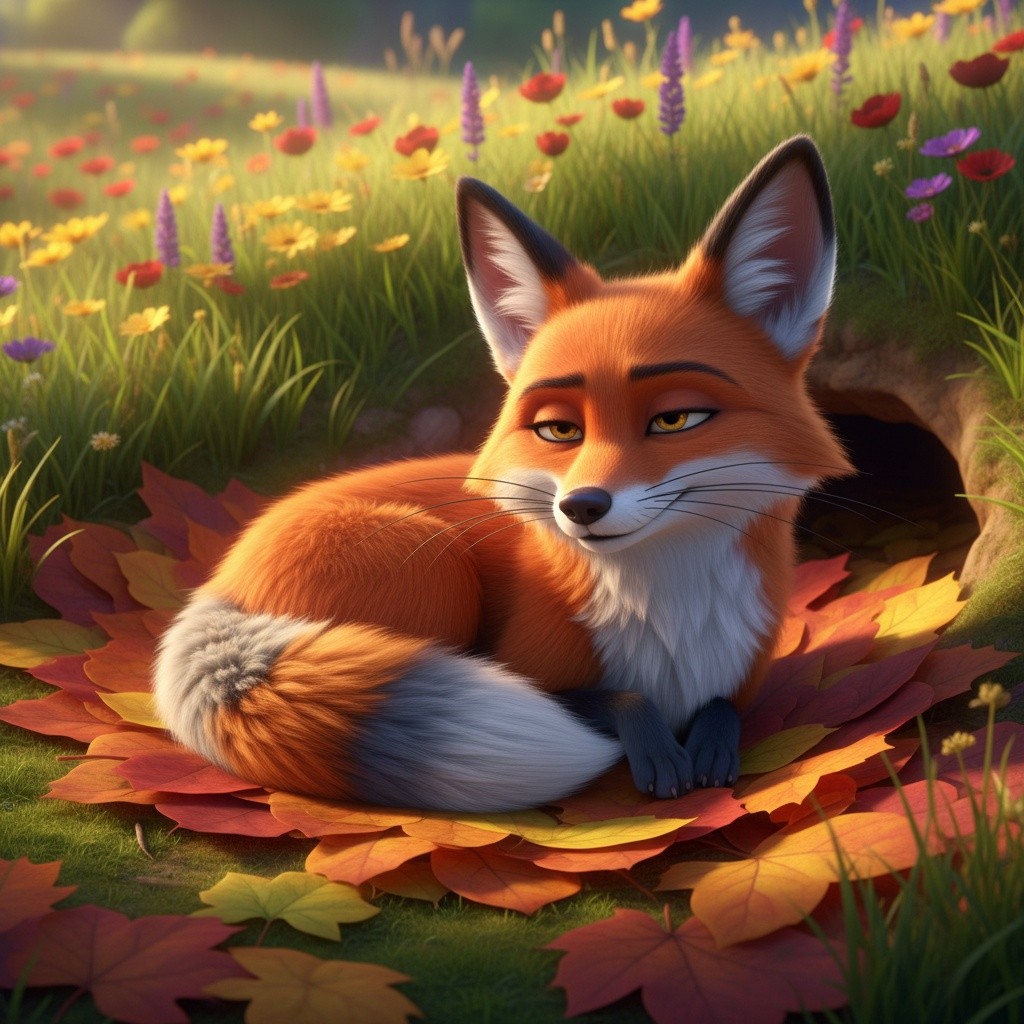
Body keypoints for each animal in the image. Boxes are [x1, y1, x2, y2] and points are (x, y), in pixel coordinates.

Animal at [153, 134, 852, 813]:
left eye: (675, 418)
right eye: (559, 431)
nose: (582, 507)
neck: (672, 629)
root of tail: (223, 579)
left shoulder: (744, 672)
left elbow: (722, 709)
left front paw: (710, 747)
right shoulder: (533, 668)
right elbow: (614, 700)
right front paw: (654, 748)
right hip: (433, 563)